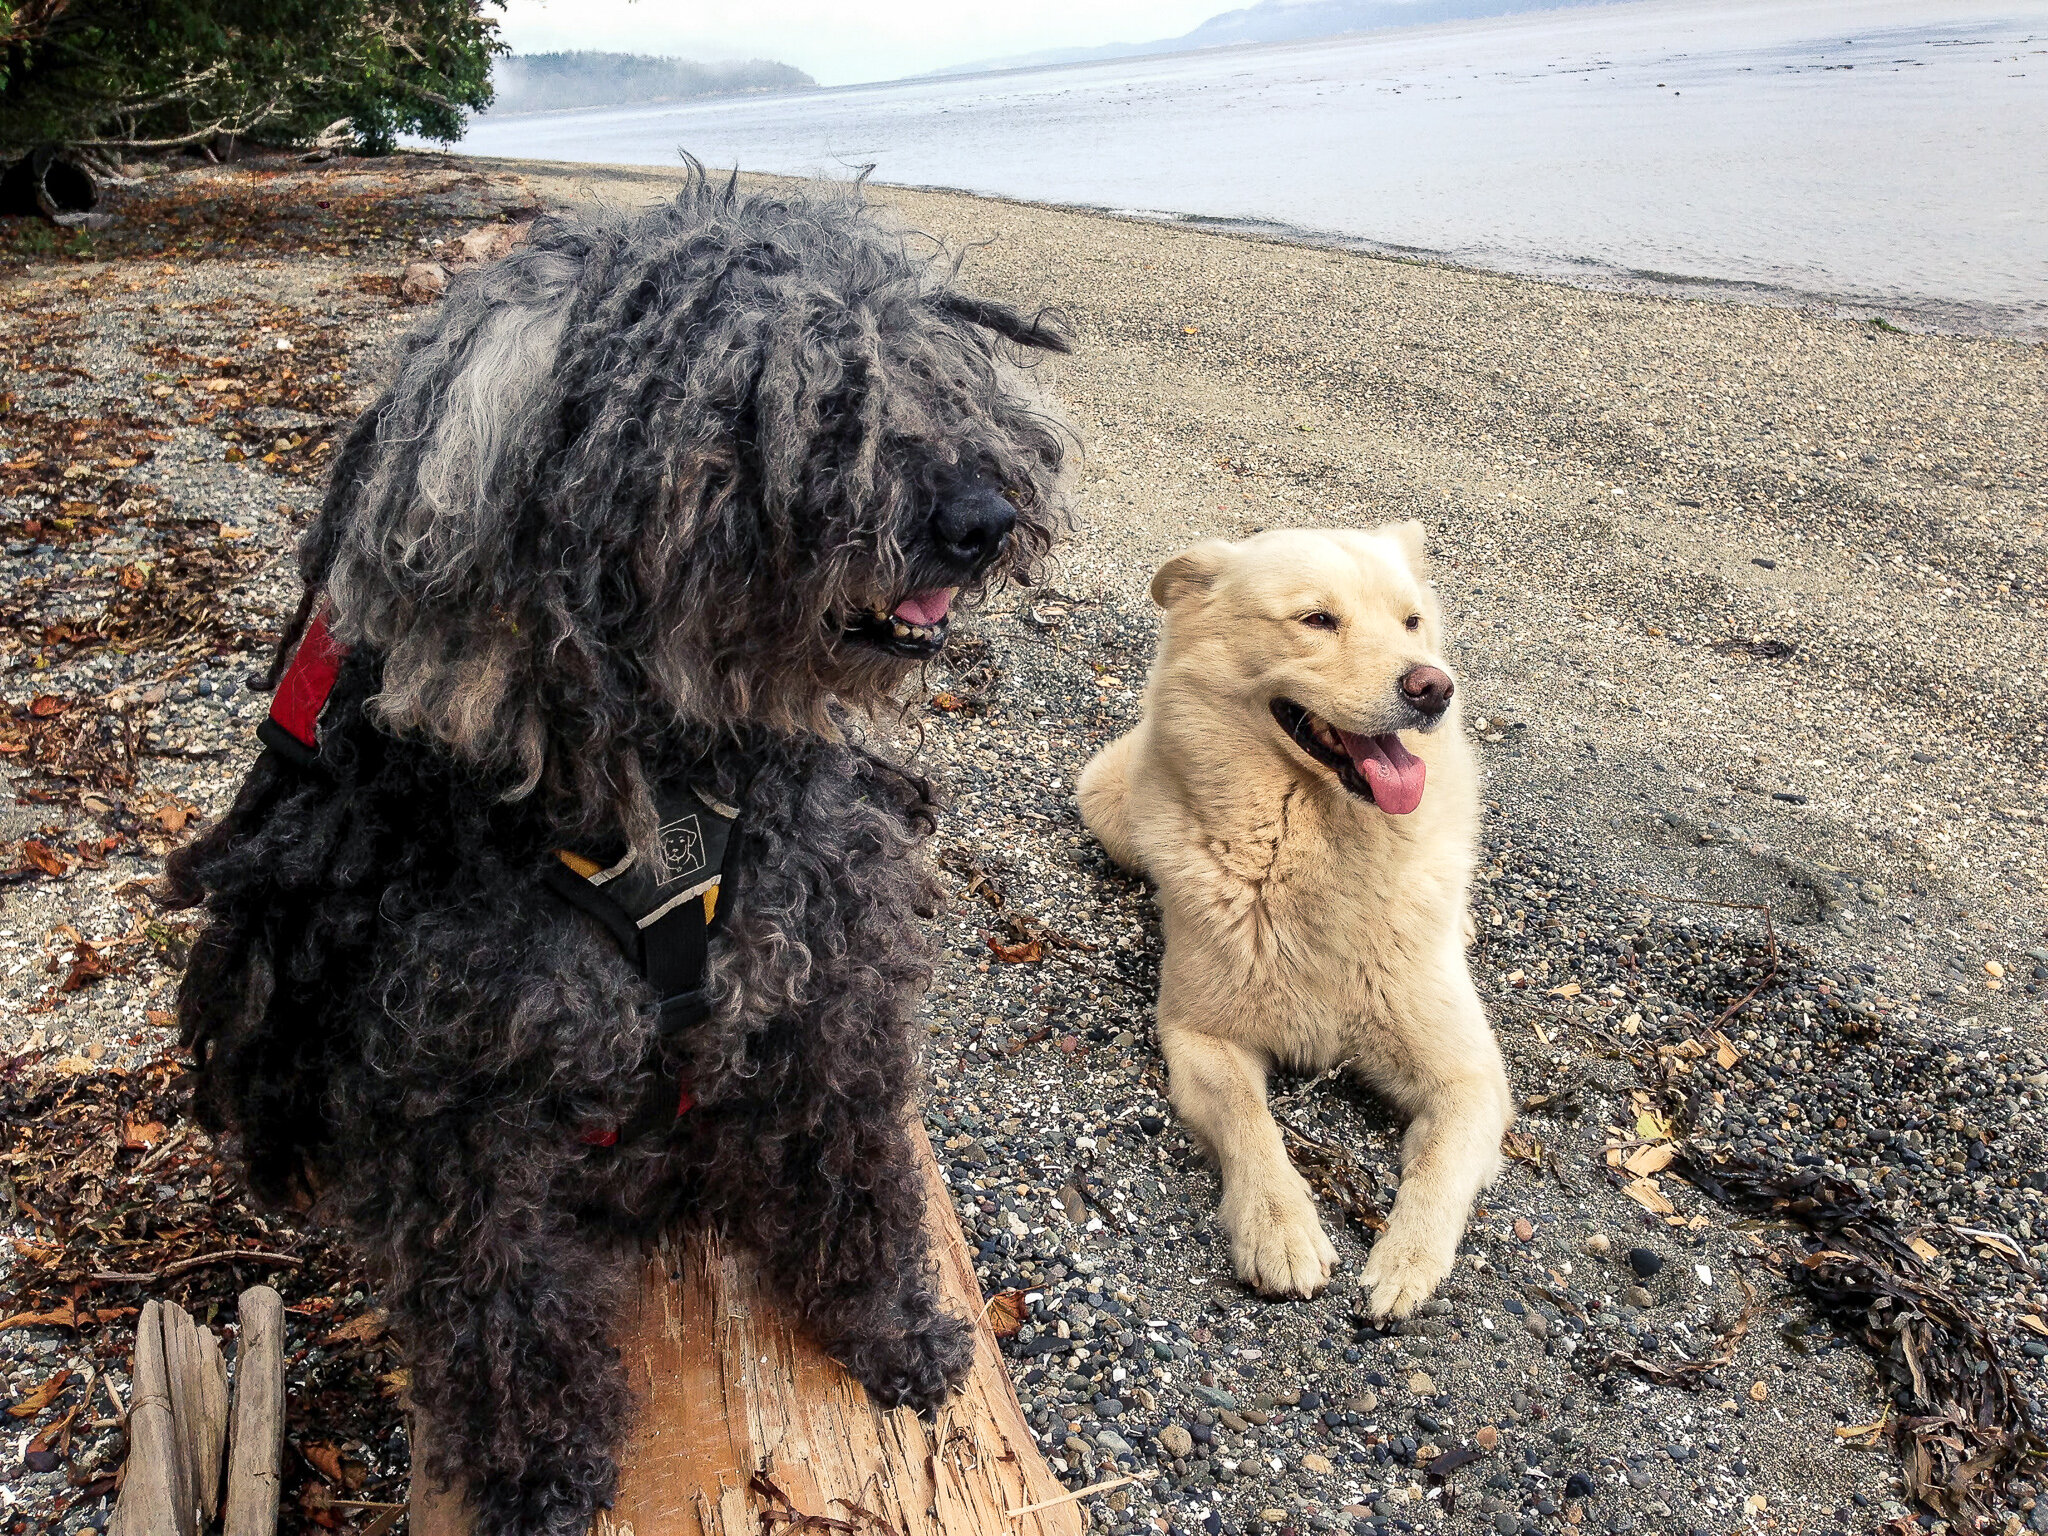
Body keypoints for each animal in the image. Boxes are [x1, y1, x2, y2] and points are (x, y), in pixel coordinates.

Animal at [163, 167, 1073, 1536]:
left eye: (920, 363)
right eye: (762, 401)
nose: (983, 517)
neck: (662, 776)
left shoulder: (828, 988)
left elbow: (860, 1179)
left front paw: (897, 1330)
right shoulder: (455, 1110)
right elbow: (502, 1318)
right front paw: (540, 1469)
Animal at [1081, 524, 1515, 1318]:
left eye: (1411, 621)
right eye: (1317, 620)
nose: (1433, 687)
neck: (1320, 845)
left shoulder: (1469, 1079)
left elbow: (1439, 1167)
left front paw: (1405, 1262)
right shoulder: (1200, 1035)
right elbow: (1250, 1124)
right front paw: (1278, 1228)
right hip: (1106, 807)